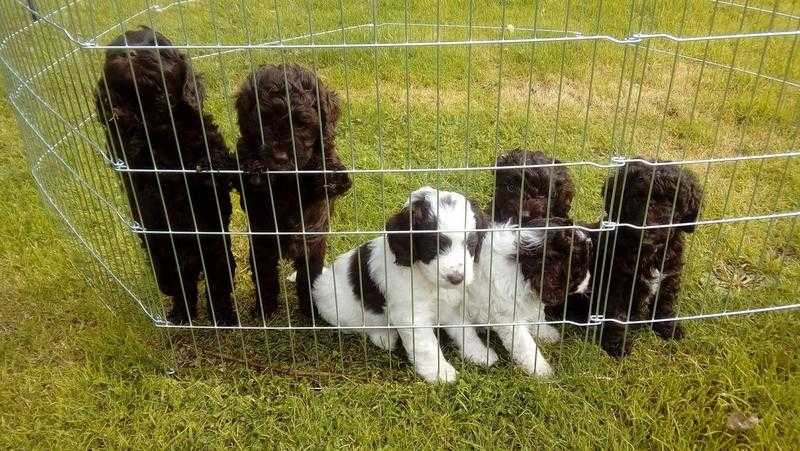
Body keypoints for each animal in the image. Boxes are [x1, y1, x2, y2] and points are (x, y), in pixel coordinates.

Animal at [94, 27, 238, 324]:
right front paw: (119, 112)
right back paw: (181, 316)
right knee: (180, 288)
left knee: (217, 286)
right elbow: (127, 137)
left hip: (216, 250)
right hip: (162, 260)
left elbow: (212, 162)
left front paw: (206, 166)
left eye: (159, 49)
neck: (157, 126)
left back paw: (223, 318)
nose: (126, 53)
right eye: (113, 51)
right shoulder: (129, 159)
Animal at [234, 64, 354, 322]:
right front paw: (256, 169)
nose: (280, 157)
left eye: (301, 123)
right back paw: (264, 311)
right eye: (265, 121)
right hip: (262, 244)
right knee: (265, 275)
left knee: (308, 277)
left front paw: (329, 173)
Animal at [310, 185, 488, 384]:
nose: (456, 278)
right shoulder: (410, 316)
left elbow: (465, 330)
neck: (426, 279)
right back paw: (384, 336)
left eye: (471, 245)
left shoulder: (451, 305)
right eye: (433, 247)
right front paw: (439, 373)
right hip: (337, 308)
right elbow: (427, 345)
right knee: (359, 326)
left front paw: (479, 353)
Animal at [462, 219, 592, 378]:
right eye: (579, 267)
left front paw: (547, 334)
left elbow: (538, 316)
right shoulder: (509, 319)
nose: (589, 282)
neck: (523, 265)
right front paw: (541, 369)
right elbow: (526, 346)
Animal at [564, 161, 704, 358]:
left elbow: (665, 303)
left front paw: (668, 329)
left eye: (672, 202)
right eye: (637, 198)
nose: (651, 226)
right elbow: (616, 316)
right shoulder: (616, 283)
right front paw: (616, 345)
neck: (647, 251)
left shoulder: (670, 274)